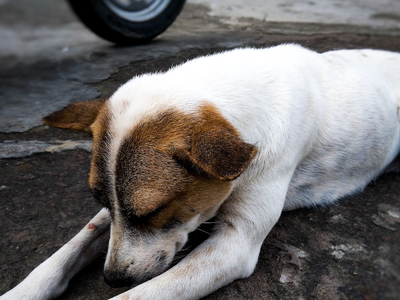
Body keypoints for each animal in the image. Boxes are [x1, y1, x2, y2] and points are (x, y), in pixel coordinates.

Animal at [2, 44, 400, 300]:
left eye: (155, 211)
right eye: (99, 197)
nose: (113, 278)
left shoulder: (234, 245)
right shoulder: (110, 211)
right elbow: (66, 252)